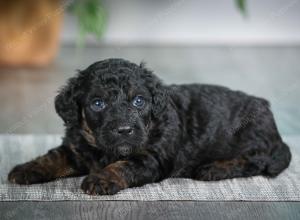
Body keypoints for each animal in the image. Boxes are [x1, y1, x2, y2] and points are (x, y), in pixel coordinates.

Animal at [8, 58, 292, 194]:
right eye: (97, 103)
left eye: (138, 101)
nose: (124, 130)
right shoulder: (76, 148)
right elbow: (52, 157)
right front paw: (26, 169)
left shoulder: (151, 158)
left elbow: (124, 165)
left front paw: (101, 178)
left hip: (253, 139)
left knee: (255, 162)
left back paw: (214, 169)